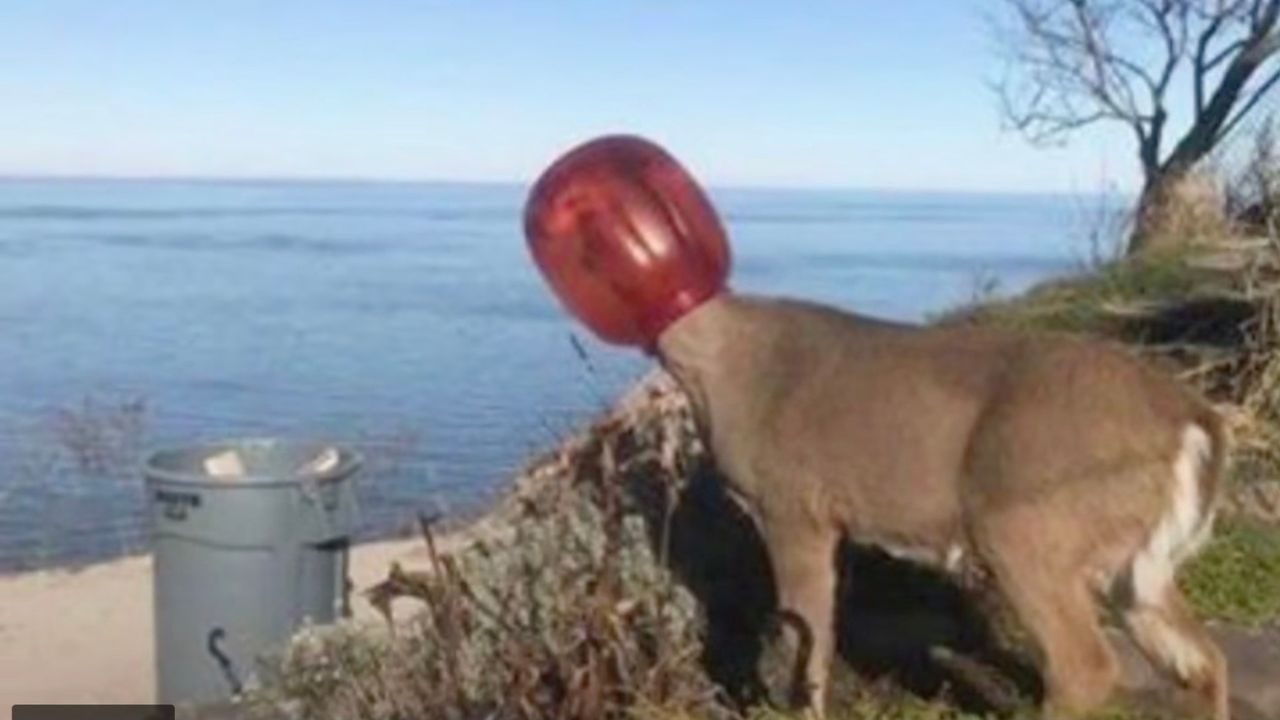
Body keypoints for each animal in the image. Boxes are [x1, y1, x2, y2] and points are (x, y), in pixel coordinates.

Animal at [519, 135, 1228, 717]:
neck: (721, 363)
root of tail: (1191, 421)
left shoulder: (793, 505)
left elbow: (806, 631)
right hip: (1132, 557)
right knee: (1204, 659)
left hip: (1028, 518)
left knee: (1086, 667)